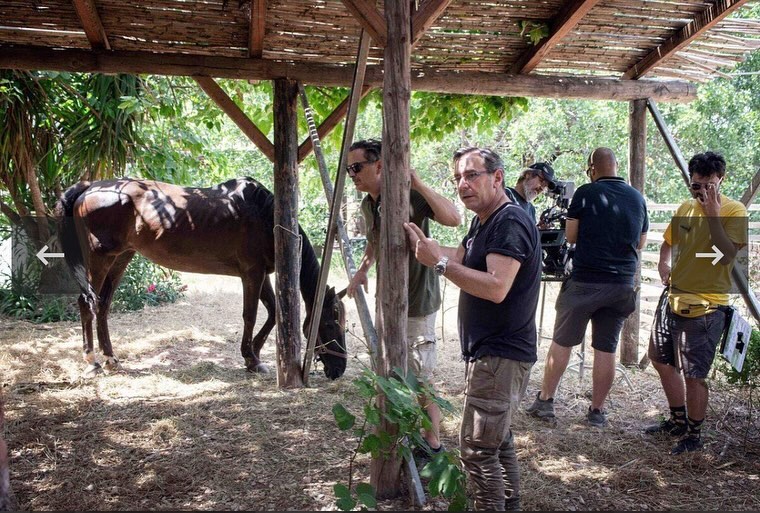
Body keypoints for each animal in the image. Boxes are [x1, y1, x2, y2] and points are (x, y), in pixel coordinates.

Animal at [55, 177, 346, 380]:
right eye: (330, 324)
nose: (340, 369)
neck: (265, 215)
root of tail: (90, 187)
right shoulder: (251, 273)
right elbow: (250, 316)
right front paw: (251, 357)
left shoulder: (261, 274)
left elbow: (273, 313)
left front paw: (254, 355)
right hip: (99, 259)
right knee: (87, 304)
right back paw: (92, 361)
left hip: (121, 258)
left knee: (103, 305)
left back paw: (110, 358)